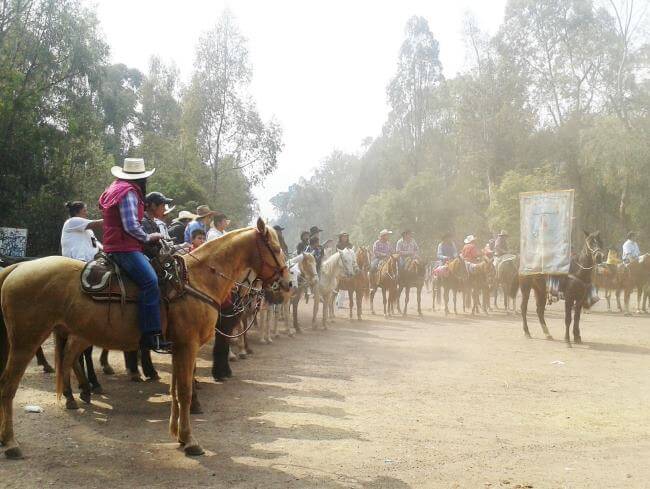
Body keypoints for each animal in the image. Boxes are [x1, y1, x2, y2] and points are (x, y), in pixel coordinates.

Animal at [0, 219, 288, 460]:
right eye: (275, 247)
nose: (287, 284)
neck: (197, 280)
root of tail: (18, 266)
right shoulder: (188, 346)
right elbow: (184, 391)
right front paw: (191, 441)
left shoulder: (178, 348)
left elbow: (175, 391)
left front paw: (179, 435)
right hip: (26, 341)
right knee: (10, 385)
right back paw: (12, 443)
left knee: (67, 359)